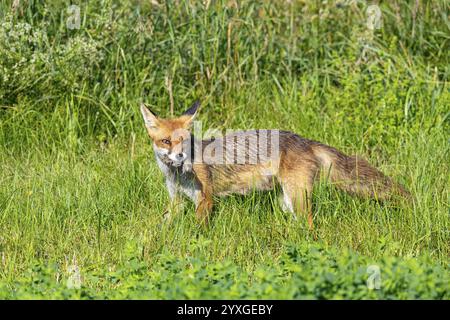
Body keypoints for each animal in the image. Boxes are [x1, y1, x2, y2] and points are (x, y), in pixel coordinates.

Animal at [139, 100, 410, 228]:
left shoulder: (205, 199)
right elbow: (162, 222)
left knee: (311, 225)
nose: (181, 157)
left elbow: (198, 229)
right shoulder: (176, 200)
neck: (177, 175)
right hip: (288, 202)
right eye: (166, 141)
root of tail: (304, 139)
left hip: (298, 199)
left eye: (184, 142)